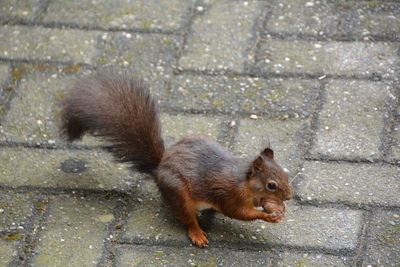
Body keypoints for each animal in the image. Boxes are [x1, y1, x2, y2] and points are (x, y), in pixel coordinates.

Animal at [61, 69, 294, 247]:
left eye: (285, 174)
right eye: (271, 185)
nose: (290, 196)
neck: (244, 183)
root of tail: (159, 167)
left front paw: (276, 207)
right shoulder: (229, 195)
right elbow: (240, 213)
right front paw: (267, 215)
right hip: (178, 193)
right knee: (187, 219)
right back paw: (197, 234)